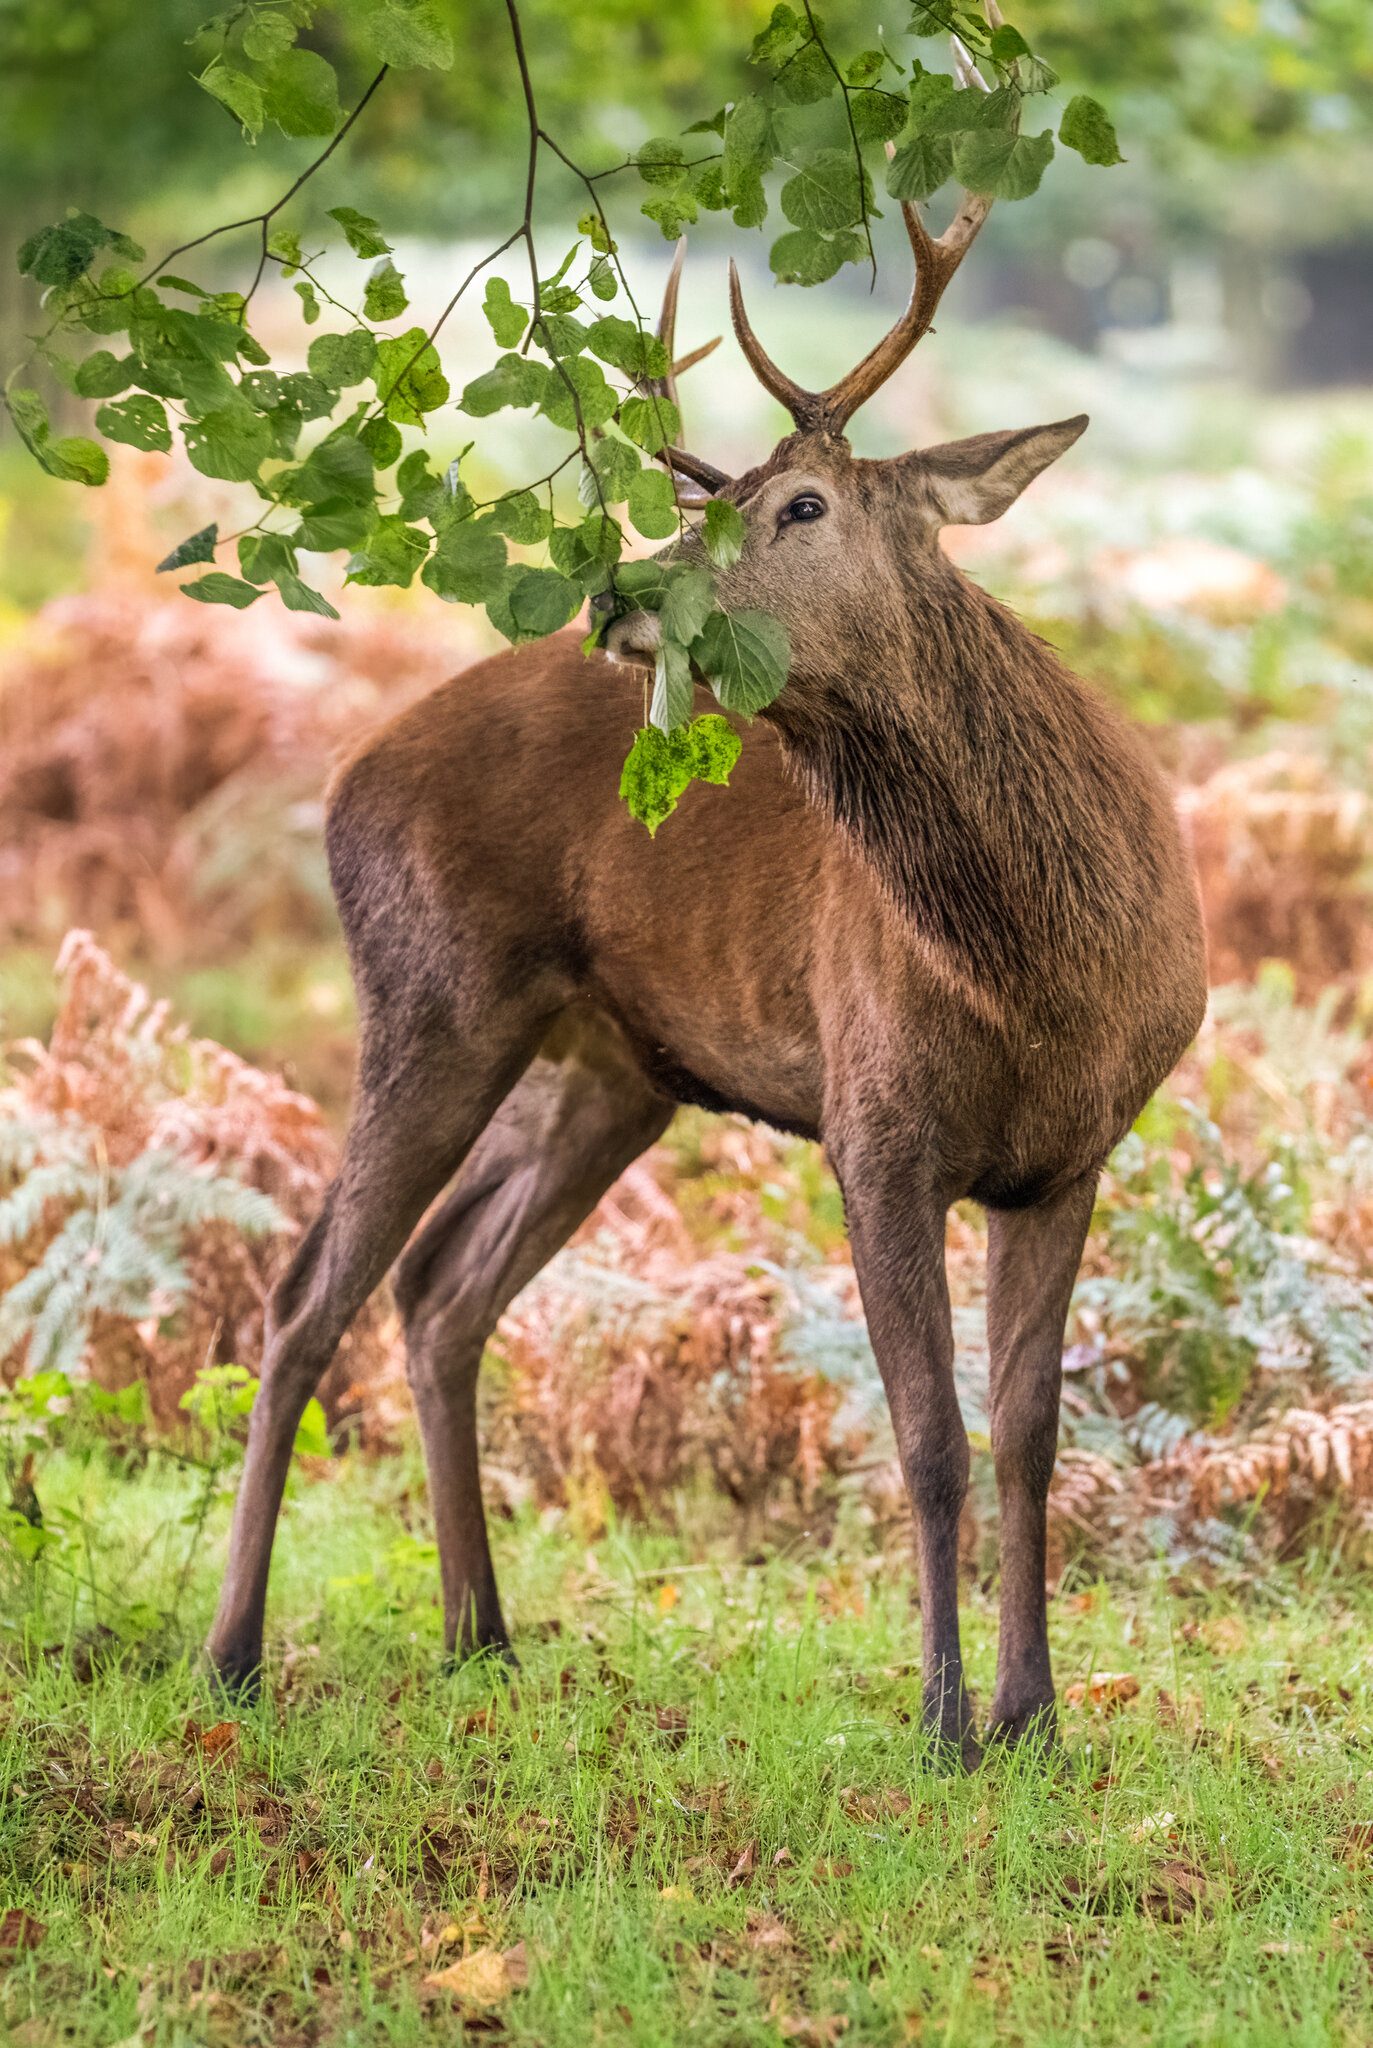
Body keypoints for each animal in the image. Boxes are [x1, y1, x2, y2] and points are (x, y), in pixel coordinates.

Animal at [204, 148, 1204, 1761]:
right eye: (710, 500)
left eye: (797, 503)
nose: (620, 593)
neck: (1041, 973)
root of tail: (345, 775)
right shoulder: (874, 1122)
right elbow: (925, 1435)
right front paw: (942, 1725)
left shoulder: (1070, 1155)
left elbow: (1031, 1436)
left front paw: (1037, 1720)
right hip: (430, 995)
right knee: (307, 1297)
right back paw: (233, 1655)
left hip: (606, 1072)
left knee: (439, 1292)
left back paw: (481, 1639)